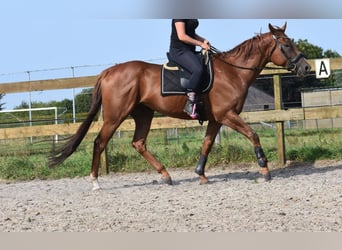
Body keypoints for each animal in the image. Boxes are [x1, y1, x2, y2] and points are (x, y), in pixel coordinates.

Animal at [49, 23, 312, 191]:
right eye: (286, 44)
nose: (306, 68)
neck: (233, 72)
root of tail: (109, 71)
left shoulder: (217, 118)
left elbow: (207, 143)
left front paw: (201, 174)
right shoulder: (227, 115)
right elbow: (253, 134)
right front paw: (264, 169)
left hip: (143, 113)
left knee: (138, 143)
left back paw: (166, 175)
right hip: (115, 116)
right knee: (99, 142)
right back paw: (95, 181)